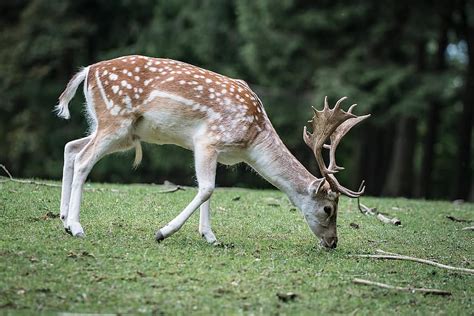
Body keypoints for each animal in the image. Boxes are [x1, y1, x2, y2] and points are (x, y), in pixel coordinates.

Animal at [56, 55, 370, 249]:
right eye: (328, 208)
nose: (333, 242)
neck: (252, 140)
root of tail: (87, 71)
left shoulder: (216, 150)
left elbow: (211, 189)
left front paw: (210, 236)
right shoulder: (207, 139)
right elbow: (206, 188)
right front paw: (163, 232)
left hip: (119, 131)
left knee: (71, 147)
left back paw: (63, 219)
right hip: (115, 120)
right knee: (83, 159)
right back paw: (77, 226)